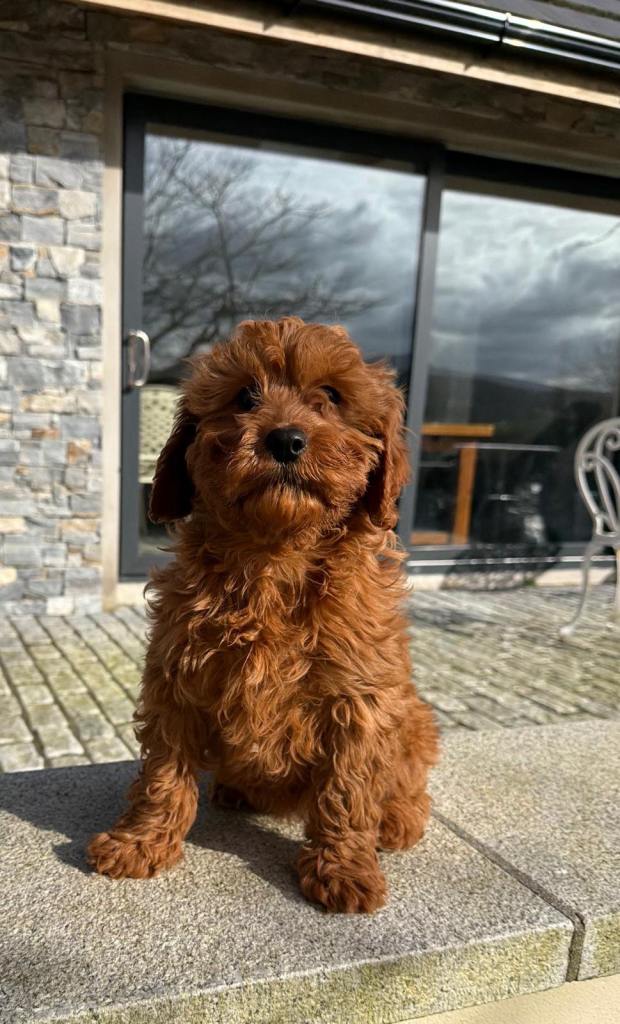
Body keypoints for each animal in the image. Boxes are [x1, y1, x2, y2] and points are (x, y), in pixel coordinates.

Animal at [88, 317, 439, 913]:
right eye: (245, 397)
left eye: (331, 397)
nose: (285, 439)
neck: (274, 556)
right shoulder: (176, 677)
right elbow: (163, 771)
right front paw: (141, 841)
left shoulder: (361, 696)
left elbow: (348, 786)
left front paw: (345, 868)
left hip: (415, 719)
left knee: (409, 779)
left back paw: (397, 820)